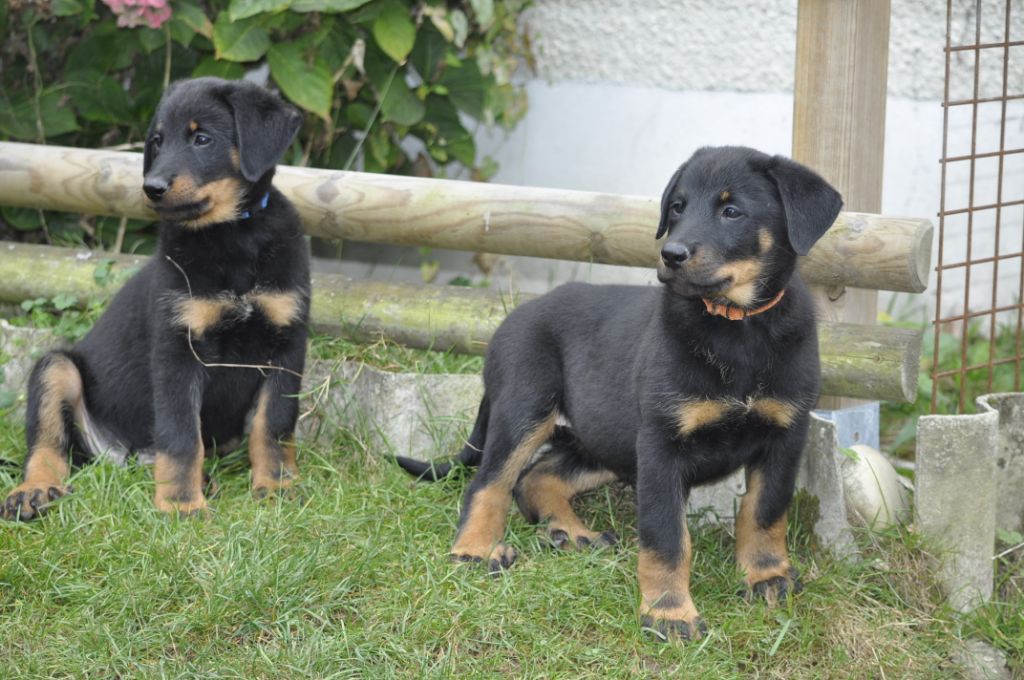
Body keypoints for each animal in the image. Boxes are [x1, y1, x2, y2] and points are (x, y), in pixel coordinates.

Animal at [2, 76, 309, 518]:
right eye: (158, 142)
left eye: (202, 138)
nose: (152, 188)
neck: (231, 235)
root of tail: (120, 454)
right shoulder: (177, 350)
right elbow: (181, 436)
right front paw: (182, 505)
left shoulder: (286, 343)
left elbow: (274, 426)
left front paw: (277, 486)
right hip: (56, 367)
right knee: (47, 445)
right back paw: (35, 490)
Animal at [395, 146, 843, 639]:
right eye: (677, 207)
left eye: (732, 211)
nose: (671, 254)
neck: (736, 327)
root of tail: (507, 323)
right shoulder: (661, 444)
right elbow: (667, 535)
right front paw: (669, 612)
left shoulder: (785, 433)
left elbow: (765, 511)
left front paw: (766, 576)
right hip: (528, 406)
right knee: (490, 481)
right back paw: (475, 549)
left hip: (605, 438)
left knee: (535, 476)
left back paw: (571, 533)